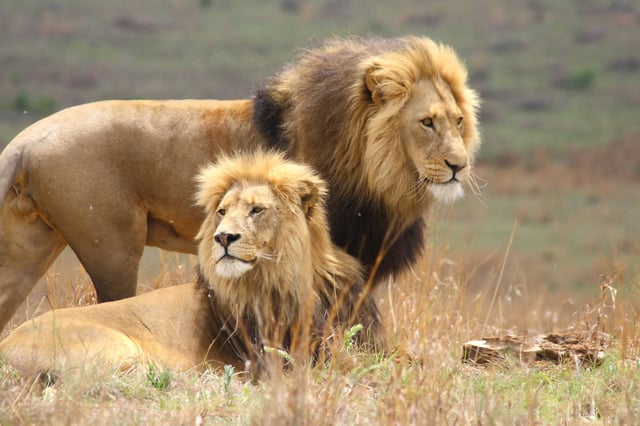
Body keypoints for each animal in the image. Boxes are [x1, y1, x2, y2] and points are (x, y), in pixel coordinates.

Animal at [0, 36, 480, 331]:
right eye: (427, 123)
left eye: (458, 121)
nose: (459, 165)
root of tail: (23, 142)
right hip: (113, 245)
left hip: (26, 247)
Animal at [0, 151, 379, 377]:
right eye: (222, 212)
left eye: (257, 210)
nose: (223, 238)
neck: (282, 279)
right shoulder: (265, 359)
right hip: (115, 349)